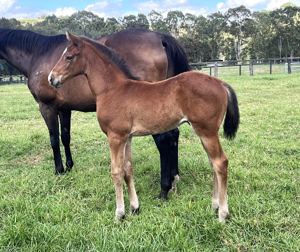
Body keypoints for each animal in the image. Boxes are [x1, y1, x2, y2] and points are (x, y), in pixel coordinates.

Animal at [49, 32, 241, 222]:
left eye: (69, 56)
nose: (51, 78)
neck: (112, 89)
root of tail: (220, 83)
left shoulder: (115, 136)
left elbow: (116, 171)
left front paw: (119, 214)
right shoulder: (127, 137)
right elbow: (128, 169)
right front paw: (134, 208)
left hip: (207, 132)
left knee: (220, 163)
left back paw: (222, 214)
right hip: (203, 133)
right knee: (213, 163)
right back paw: (214, 206)